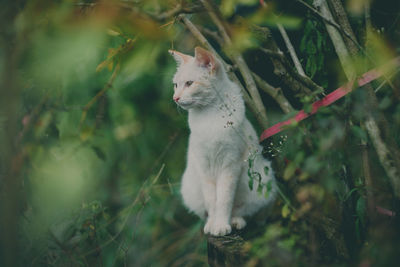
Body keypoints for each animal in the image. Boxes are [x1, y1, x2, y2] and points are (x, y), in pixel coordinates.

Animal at [169, 47, 276, 237]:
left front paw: (221, 225)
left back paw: (235, 221)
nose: (175, 98)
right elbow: (212, 201)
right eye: (176, 85)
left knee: (244, 212)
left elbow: (224, 199)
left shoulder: (230, 166)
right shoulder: (204, 167)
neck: (209, 115)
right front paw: (213, 225)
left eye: (189, 83)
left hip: (264, 181)